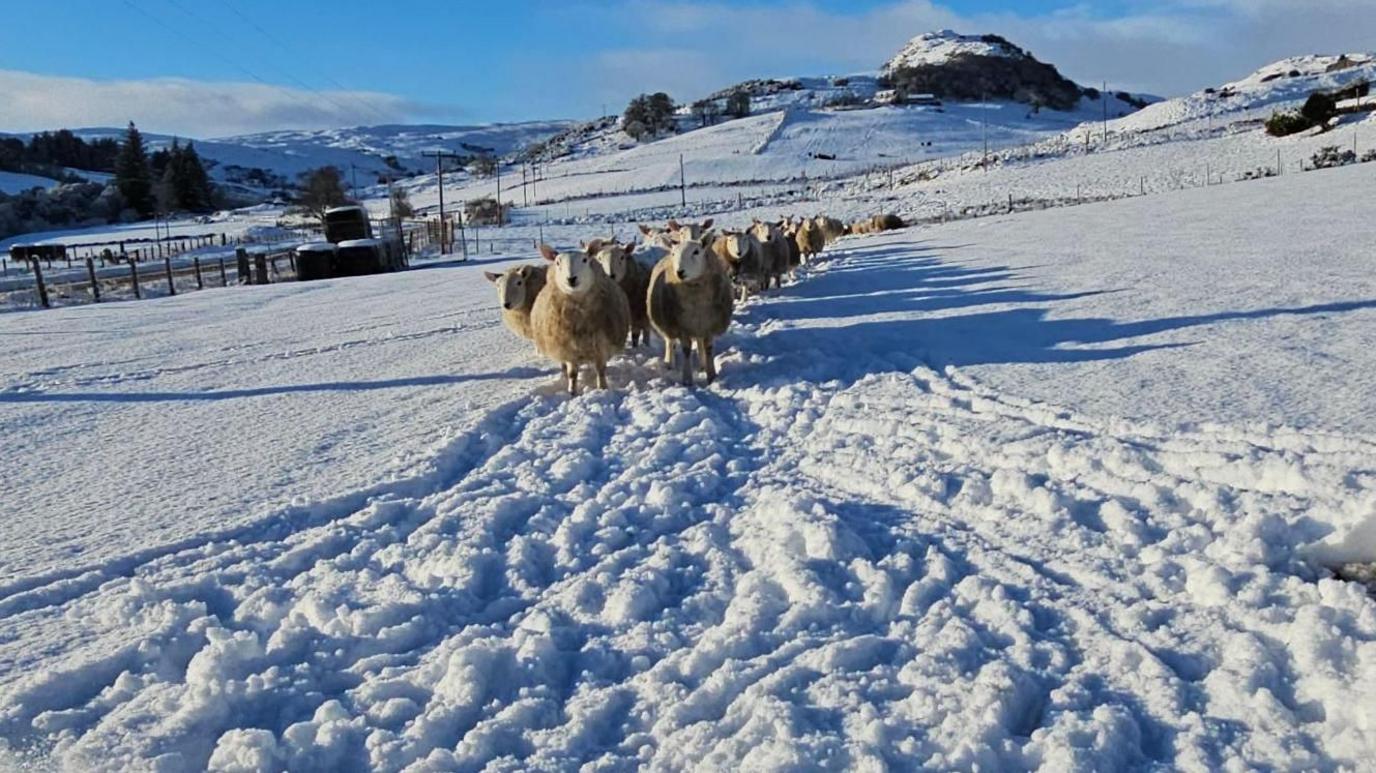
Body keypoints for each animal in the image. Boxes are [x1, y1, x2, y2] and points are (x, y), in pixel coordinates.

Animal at [528, 243, 630, 393]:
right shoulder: (568, 348)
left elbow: (601, 370)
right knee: (564, 366)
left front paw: (602, 388)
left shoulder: (601, 345)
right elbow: (573, 373)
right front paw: (572, 391)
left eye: (585, 260)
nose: (571, 279)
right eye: (558, 262)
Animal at [646, 228, 737, 385]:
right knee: (670, 341)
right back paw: (669, 362)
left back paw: (702, 364)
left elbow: (708, 348)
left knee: (699, 343)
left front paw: (711, 375)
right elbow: (686, 350)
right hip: (668, 322)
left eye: (696, 252)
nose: (680, 272)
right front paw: (687, 379)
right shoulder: (681, 326)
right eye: (674, 254)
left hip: (698, 326)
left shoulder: (708, 324)